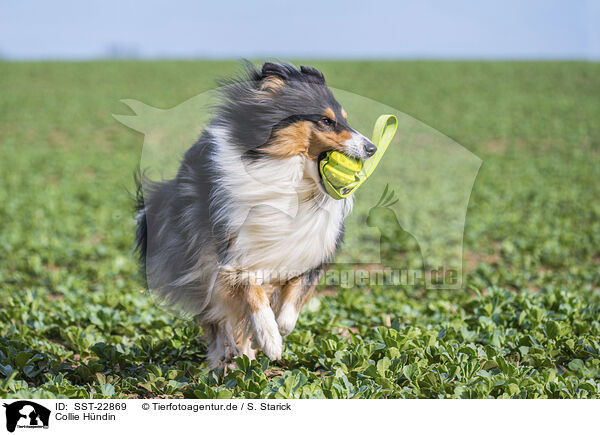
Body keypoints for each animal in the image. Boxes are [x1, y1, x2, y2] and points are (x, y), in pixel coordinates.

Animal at [136, 62, 376, 368]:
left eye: (345, 119)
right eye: (325, 120)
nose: (372, 148)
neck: (292, 180)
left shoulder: (310, 248)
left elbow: (295, 293)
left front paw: (281, 327)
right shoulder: (233, 250)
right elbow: (249, 290)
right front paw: (271, 340)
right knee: (216, 313)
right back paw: (227, 355)